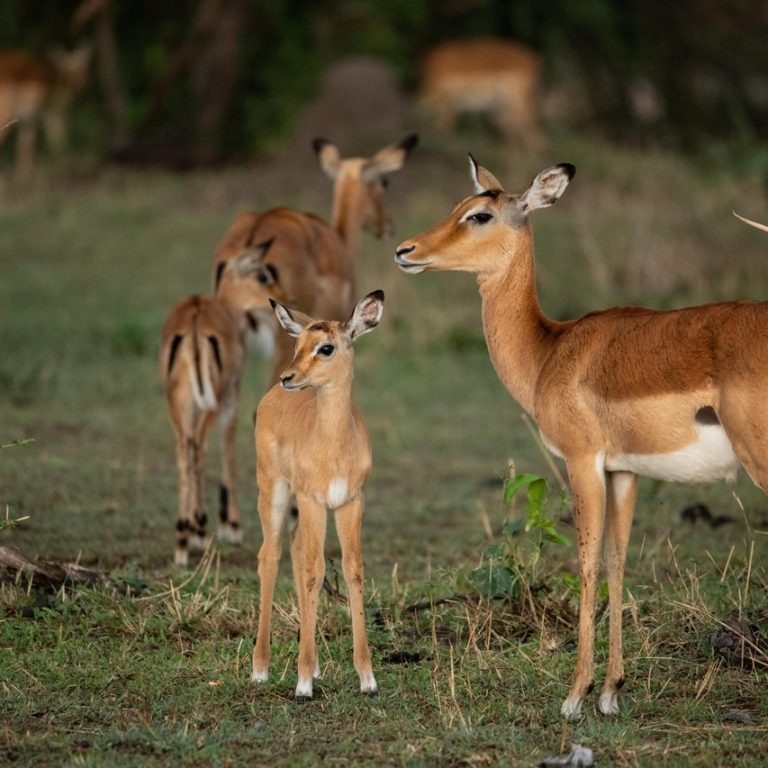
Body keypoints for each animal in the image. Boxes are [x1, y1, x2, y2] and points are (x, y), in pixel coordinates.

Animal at [0, 47, 91, 180]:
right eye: (78, 66)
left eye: (82, 67)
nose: (79, 88)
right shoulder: (52, 116)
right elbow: (58, 140)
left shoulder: (28, 121)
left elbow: (25, 146)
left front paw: (24, 177)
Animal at [161, 239, 282, 566]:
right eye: (263, 275)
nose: (282, 299)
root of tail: (194, 318)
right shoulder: (230, 398)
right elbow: (228, 443)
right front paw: (231, 527)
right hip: (210, 402)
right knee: (199, 446)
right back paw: (195, 532)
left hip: (178, 403)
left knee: (184, 448)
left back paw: (182, 537)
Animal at [251, 291, 384, 701]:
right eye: (298, 345)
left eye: (326, 347)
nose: (289, 377)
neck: (334, 445)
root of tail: (270, 396)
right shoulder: (313, 500)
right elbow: (314, 571)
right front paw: (302, 684)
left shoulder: (350, 502)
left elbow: (353, 569)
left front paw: (367, 678)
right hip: (274, 492)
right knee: (271, 556)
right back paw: (260, 669)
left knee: (295, 551)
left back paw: (315, 665)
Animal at [395, 157, 768, 718]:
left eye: (479, 214)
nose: (406, 251)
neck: (550, 350)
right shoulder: (624, 471)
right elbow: (616, 563)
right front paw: (611, 691)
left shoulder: (581, 460)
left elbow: (587, 565)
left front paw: (575, 695)